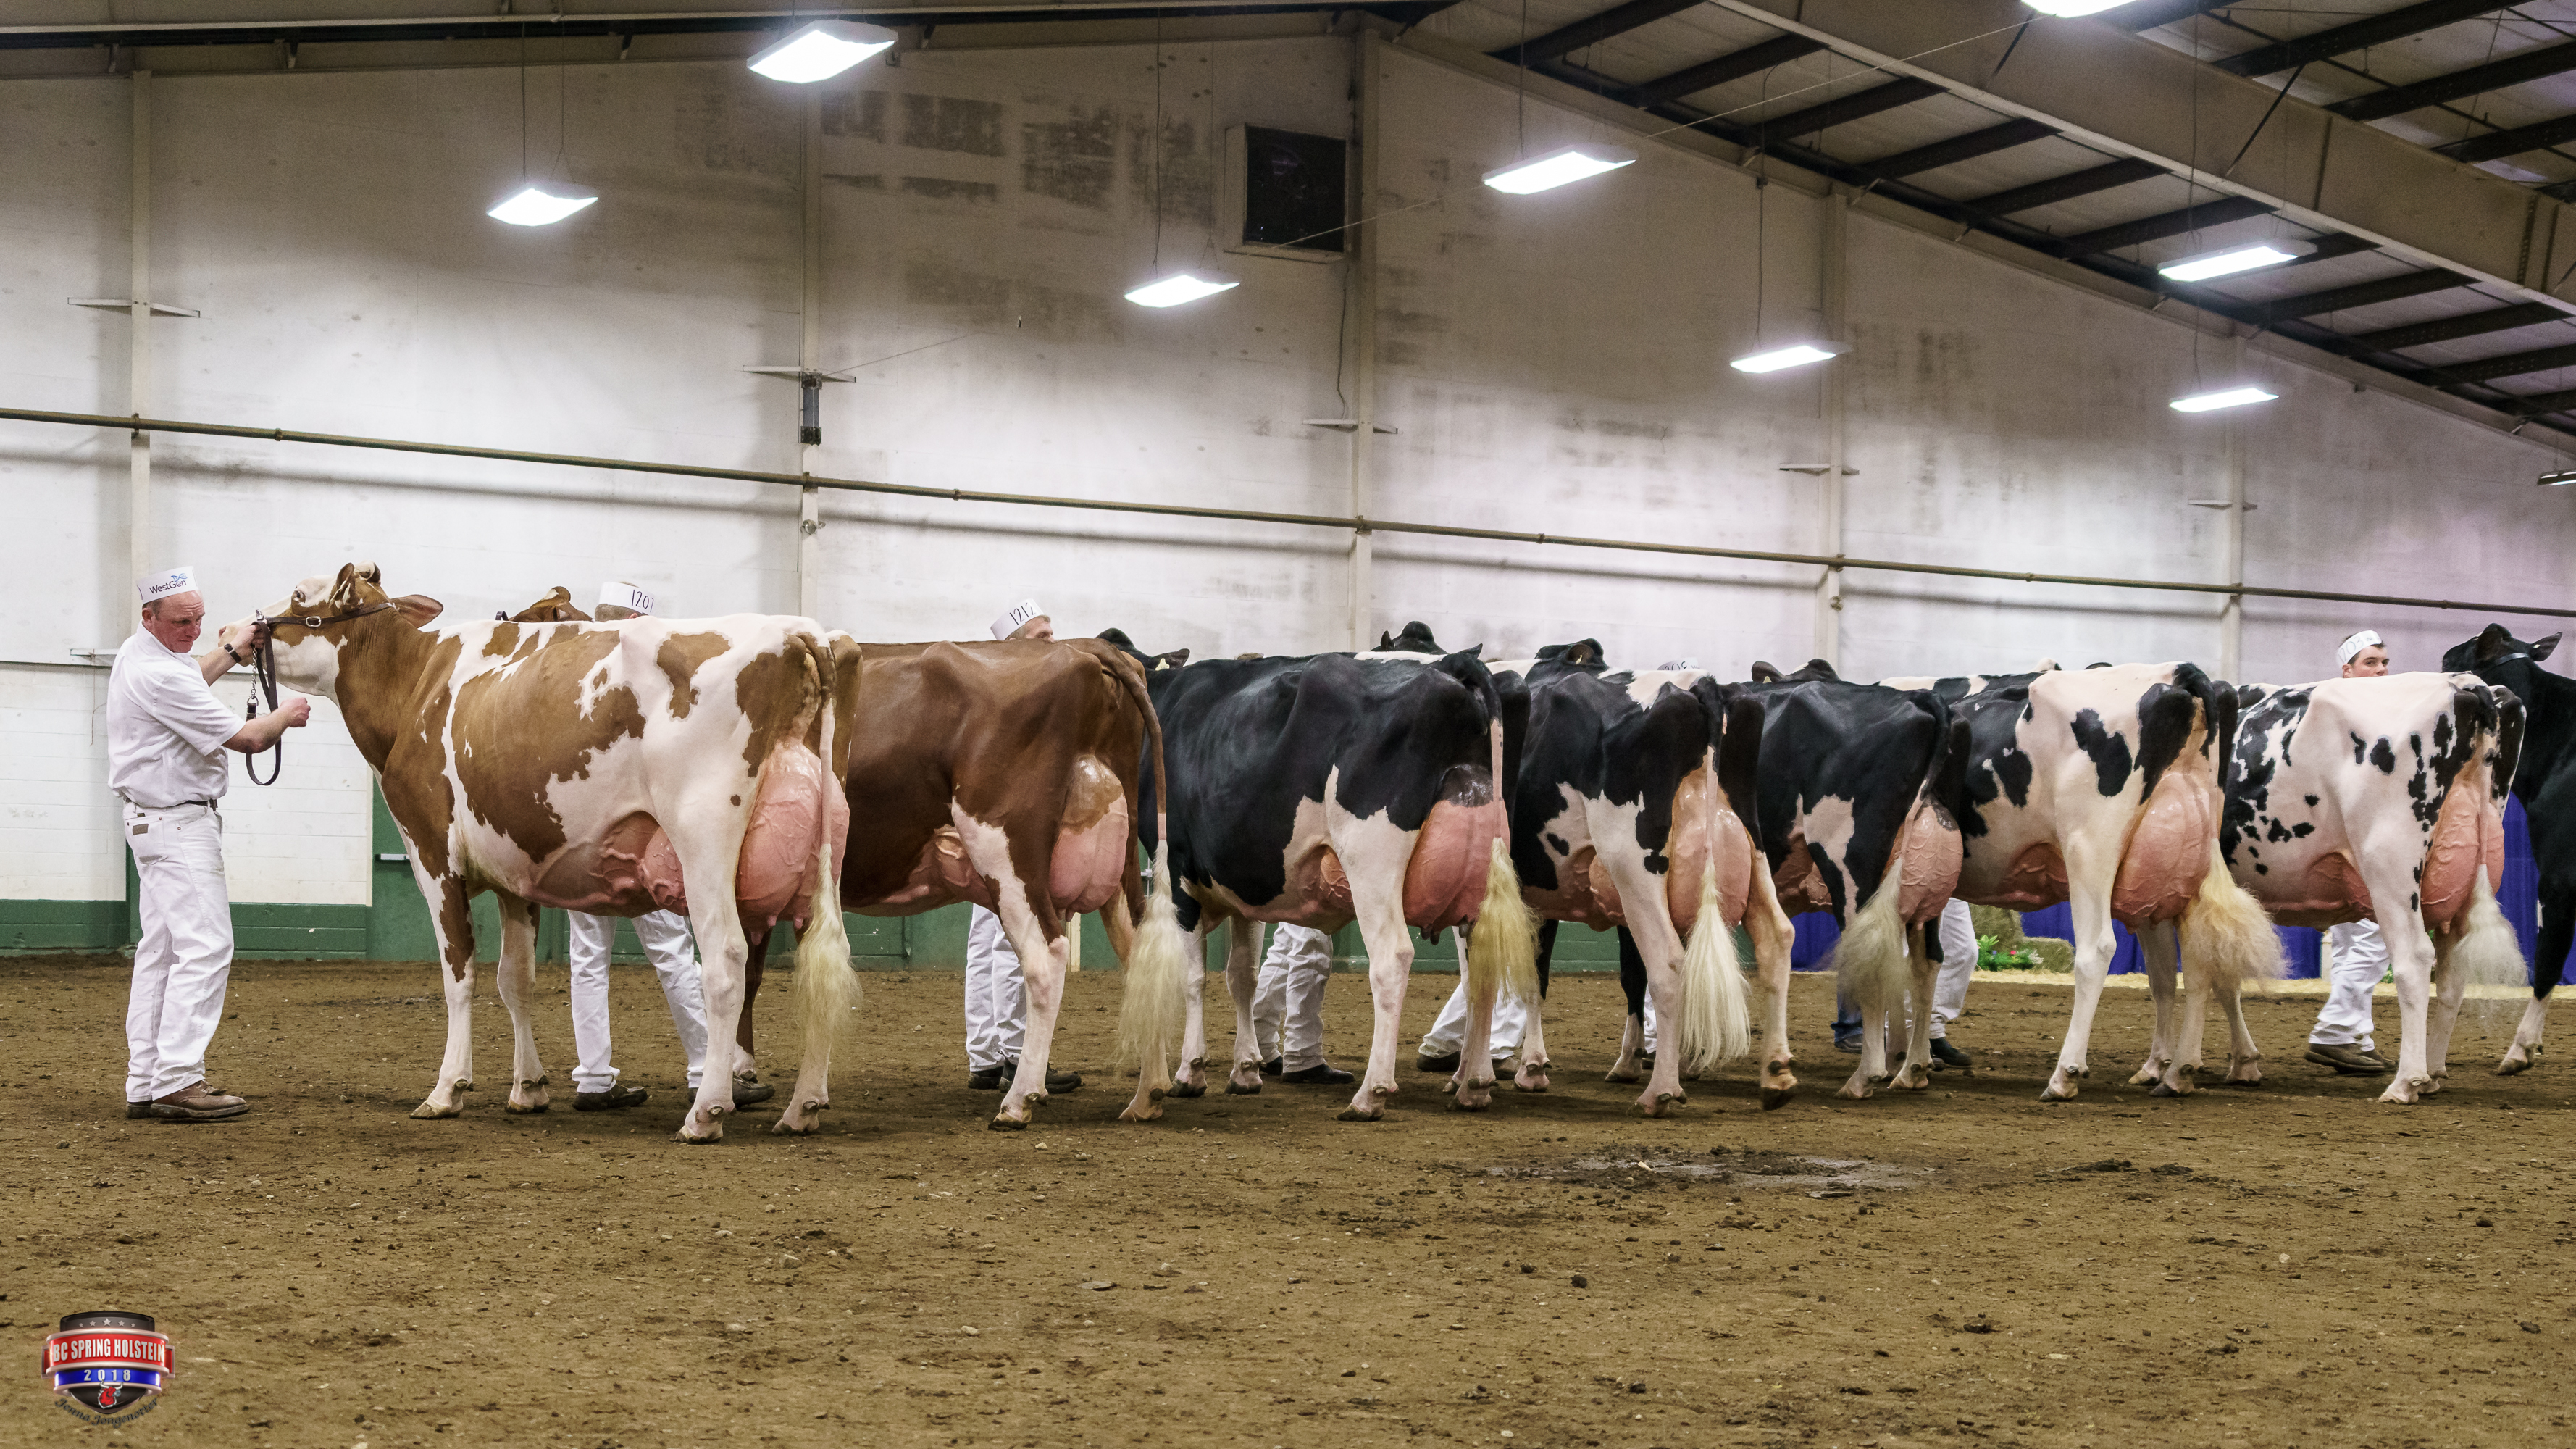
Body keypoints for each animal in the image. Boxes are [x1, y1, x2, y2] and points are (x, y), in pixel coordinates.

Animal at [219, 563, 859, 1143]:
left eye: (299, 595)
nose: (232, 630)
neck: (415, 684)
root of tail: (800, 631)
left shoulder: (431, 852)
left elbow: (459, 973)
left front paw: (447, 1089)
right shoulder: (512, 872)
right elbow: (516, 978)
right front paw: (528, 1088)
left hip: (703, 836)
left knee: (725, 961)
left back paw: (706, 1112)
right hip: (823, 852)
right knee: (823, 962)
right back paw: (803, 1106)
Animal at [1100, 635, 1538, 1121]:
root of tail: (1457, 666)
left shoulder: (1178, 871)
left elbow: (1194, 977)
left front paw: (1190, 1072)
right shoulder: (1247, 886)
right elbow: (1242, 976)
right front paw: (1245, 1070)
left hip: (1371, 862)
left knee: (1392, 960)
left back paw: (1371, 1094)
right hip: (1485, 873)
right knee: (1482, 964)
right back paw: (1473, 1083)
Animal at [1487, 641, 1768, 1115]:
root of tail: (1703, 685)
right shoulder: (1545, 892)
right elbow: (1544, 974)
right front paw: (1538, 1066)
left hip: (1634, 868)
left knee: (1669, 964)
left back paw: (1661, 1091)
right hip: (1752, 851)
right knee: (1779, 944)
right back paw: (1776, 1077)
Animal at [2207, 672, 2525, 1103]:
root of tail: (2466, 683)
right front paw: (2241, 1062)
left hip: (2389, 866)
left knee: (2414, 960)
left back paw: (2406, 1082)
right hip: (2465, 880)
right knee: (2452, 975)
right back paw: (2432, 1073)